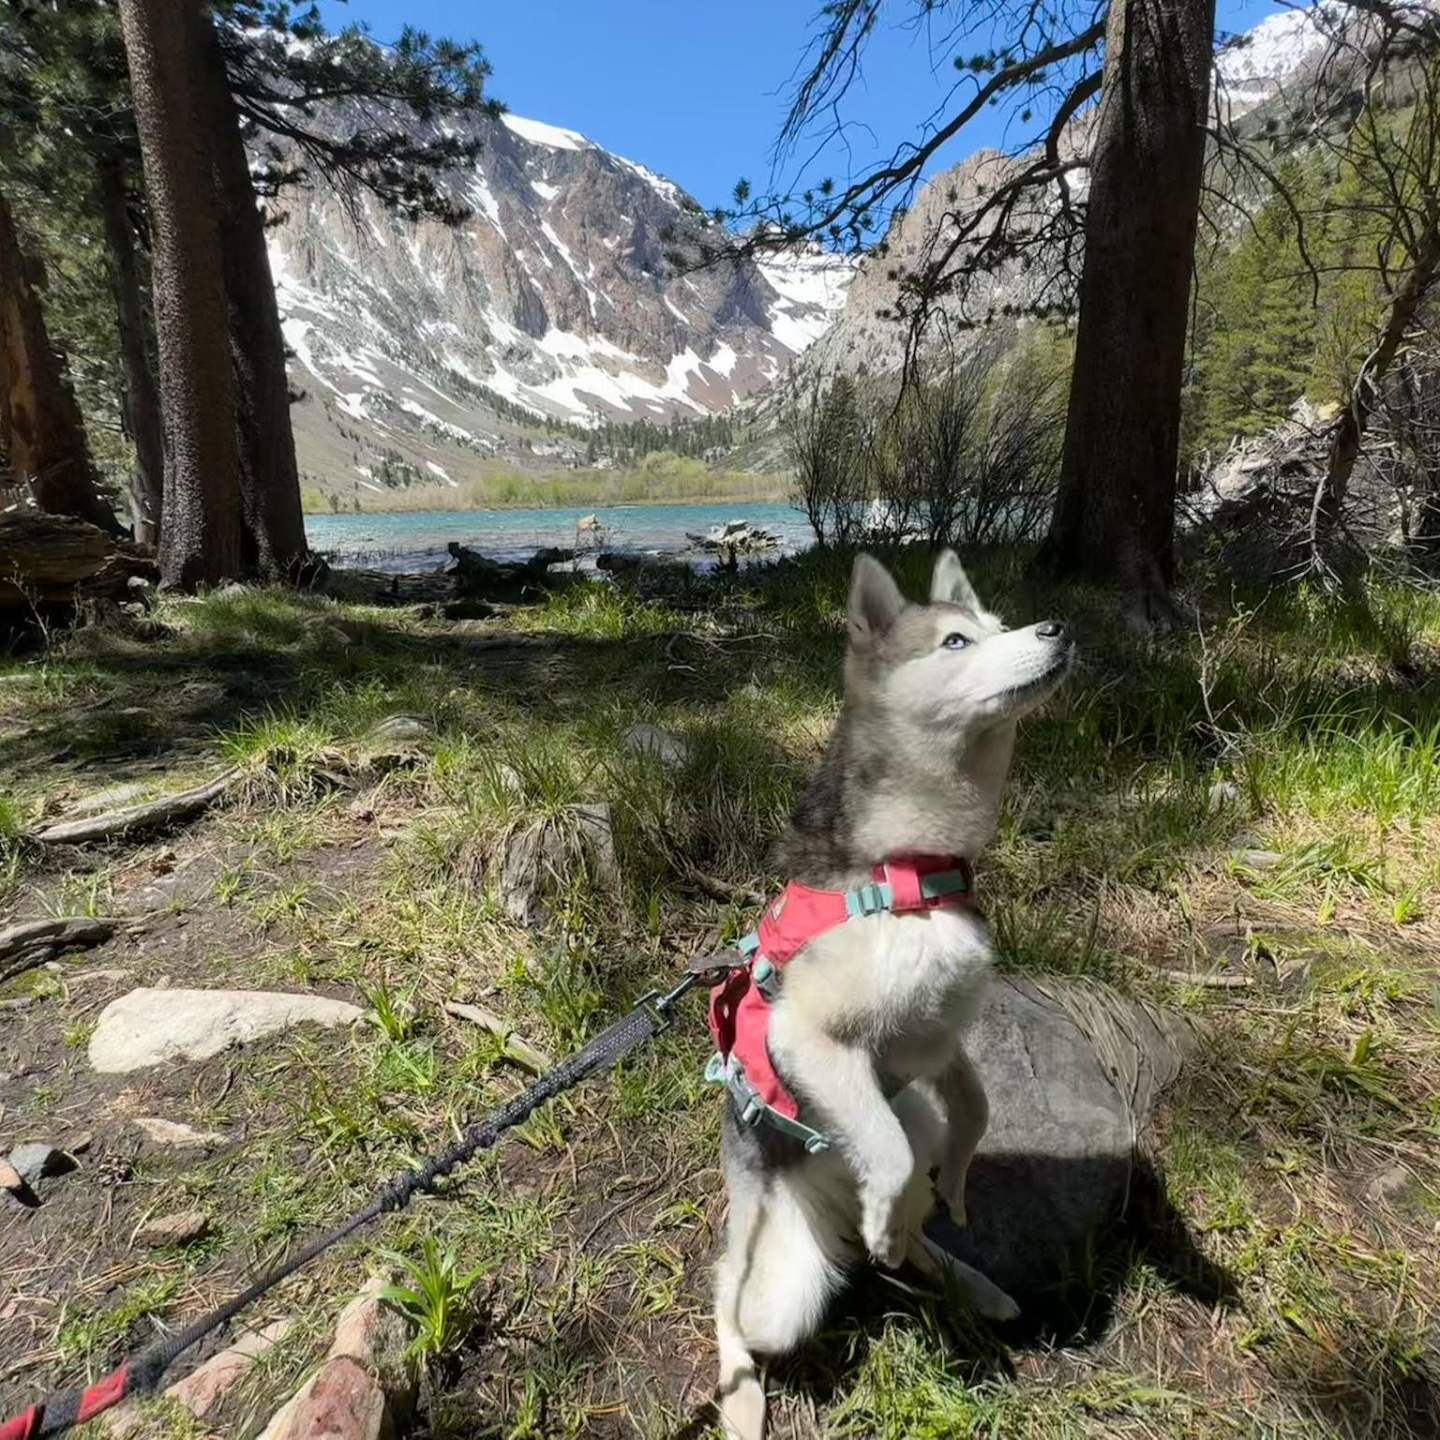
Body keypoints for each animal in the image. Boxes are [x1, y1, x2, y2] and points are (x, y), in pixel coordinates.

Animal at [711, 548, 1074, 1440]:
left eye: (1001, 623)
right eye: (955, 641)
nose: (1058, 627)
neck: (911, 873)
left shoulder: (936, 1037)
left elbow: (971, 1111)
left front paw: (953, 1189)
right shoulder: (807, 1037)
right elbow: (889, 1151)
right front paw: (898, 1203)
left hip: (908, 1104)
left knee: (913, 1195)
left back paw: (963, 1273)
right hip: (764, 1250)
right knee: (730, 1294)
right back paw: (743, 1384)